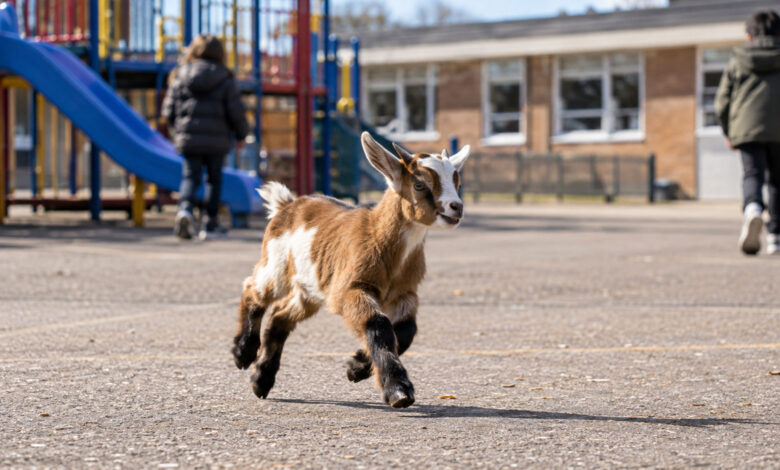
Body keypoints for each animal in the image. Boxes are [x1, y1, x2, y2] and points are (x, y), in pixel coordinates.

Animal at [232, 132, 470, 408]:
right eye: (420, 184)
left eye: (456, 180)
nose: (456, 207)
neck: (377, 233)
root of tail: (287, 204)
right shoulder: (350, 288)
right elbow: (377, 323)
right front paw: (398, 389)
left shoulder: (404, 293)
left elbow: (406, 330)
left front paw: (356, 367)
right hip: (277, 262)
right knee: (254, 289)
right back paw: (243, 351)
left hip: (310, 289)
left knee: (280, 315)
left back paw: (261, 380)